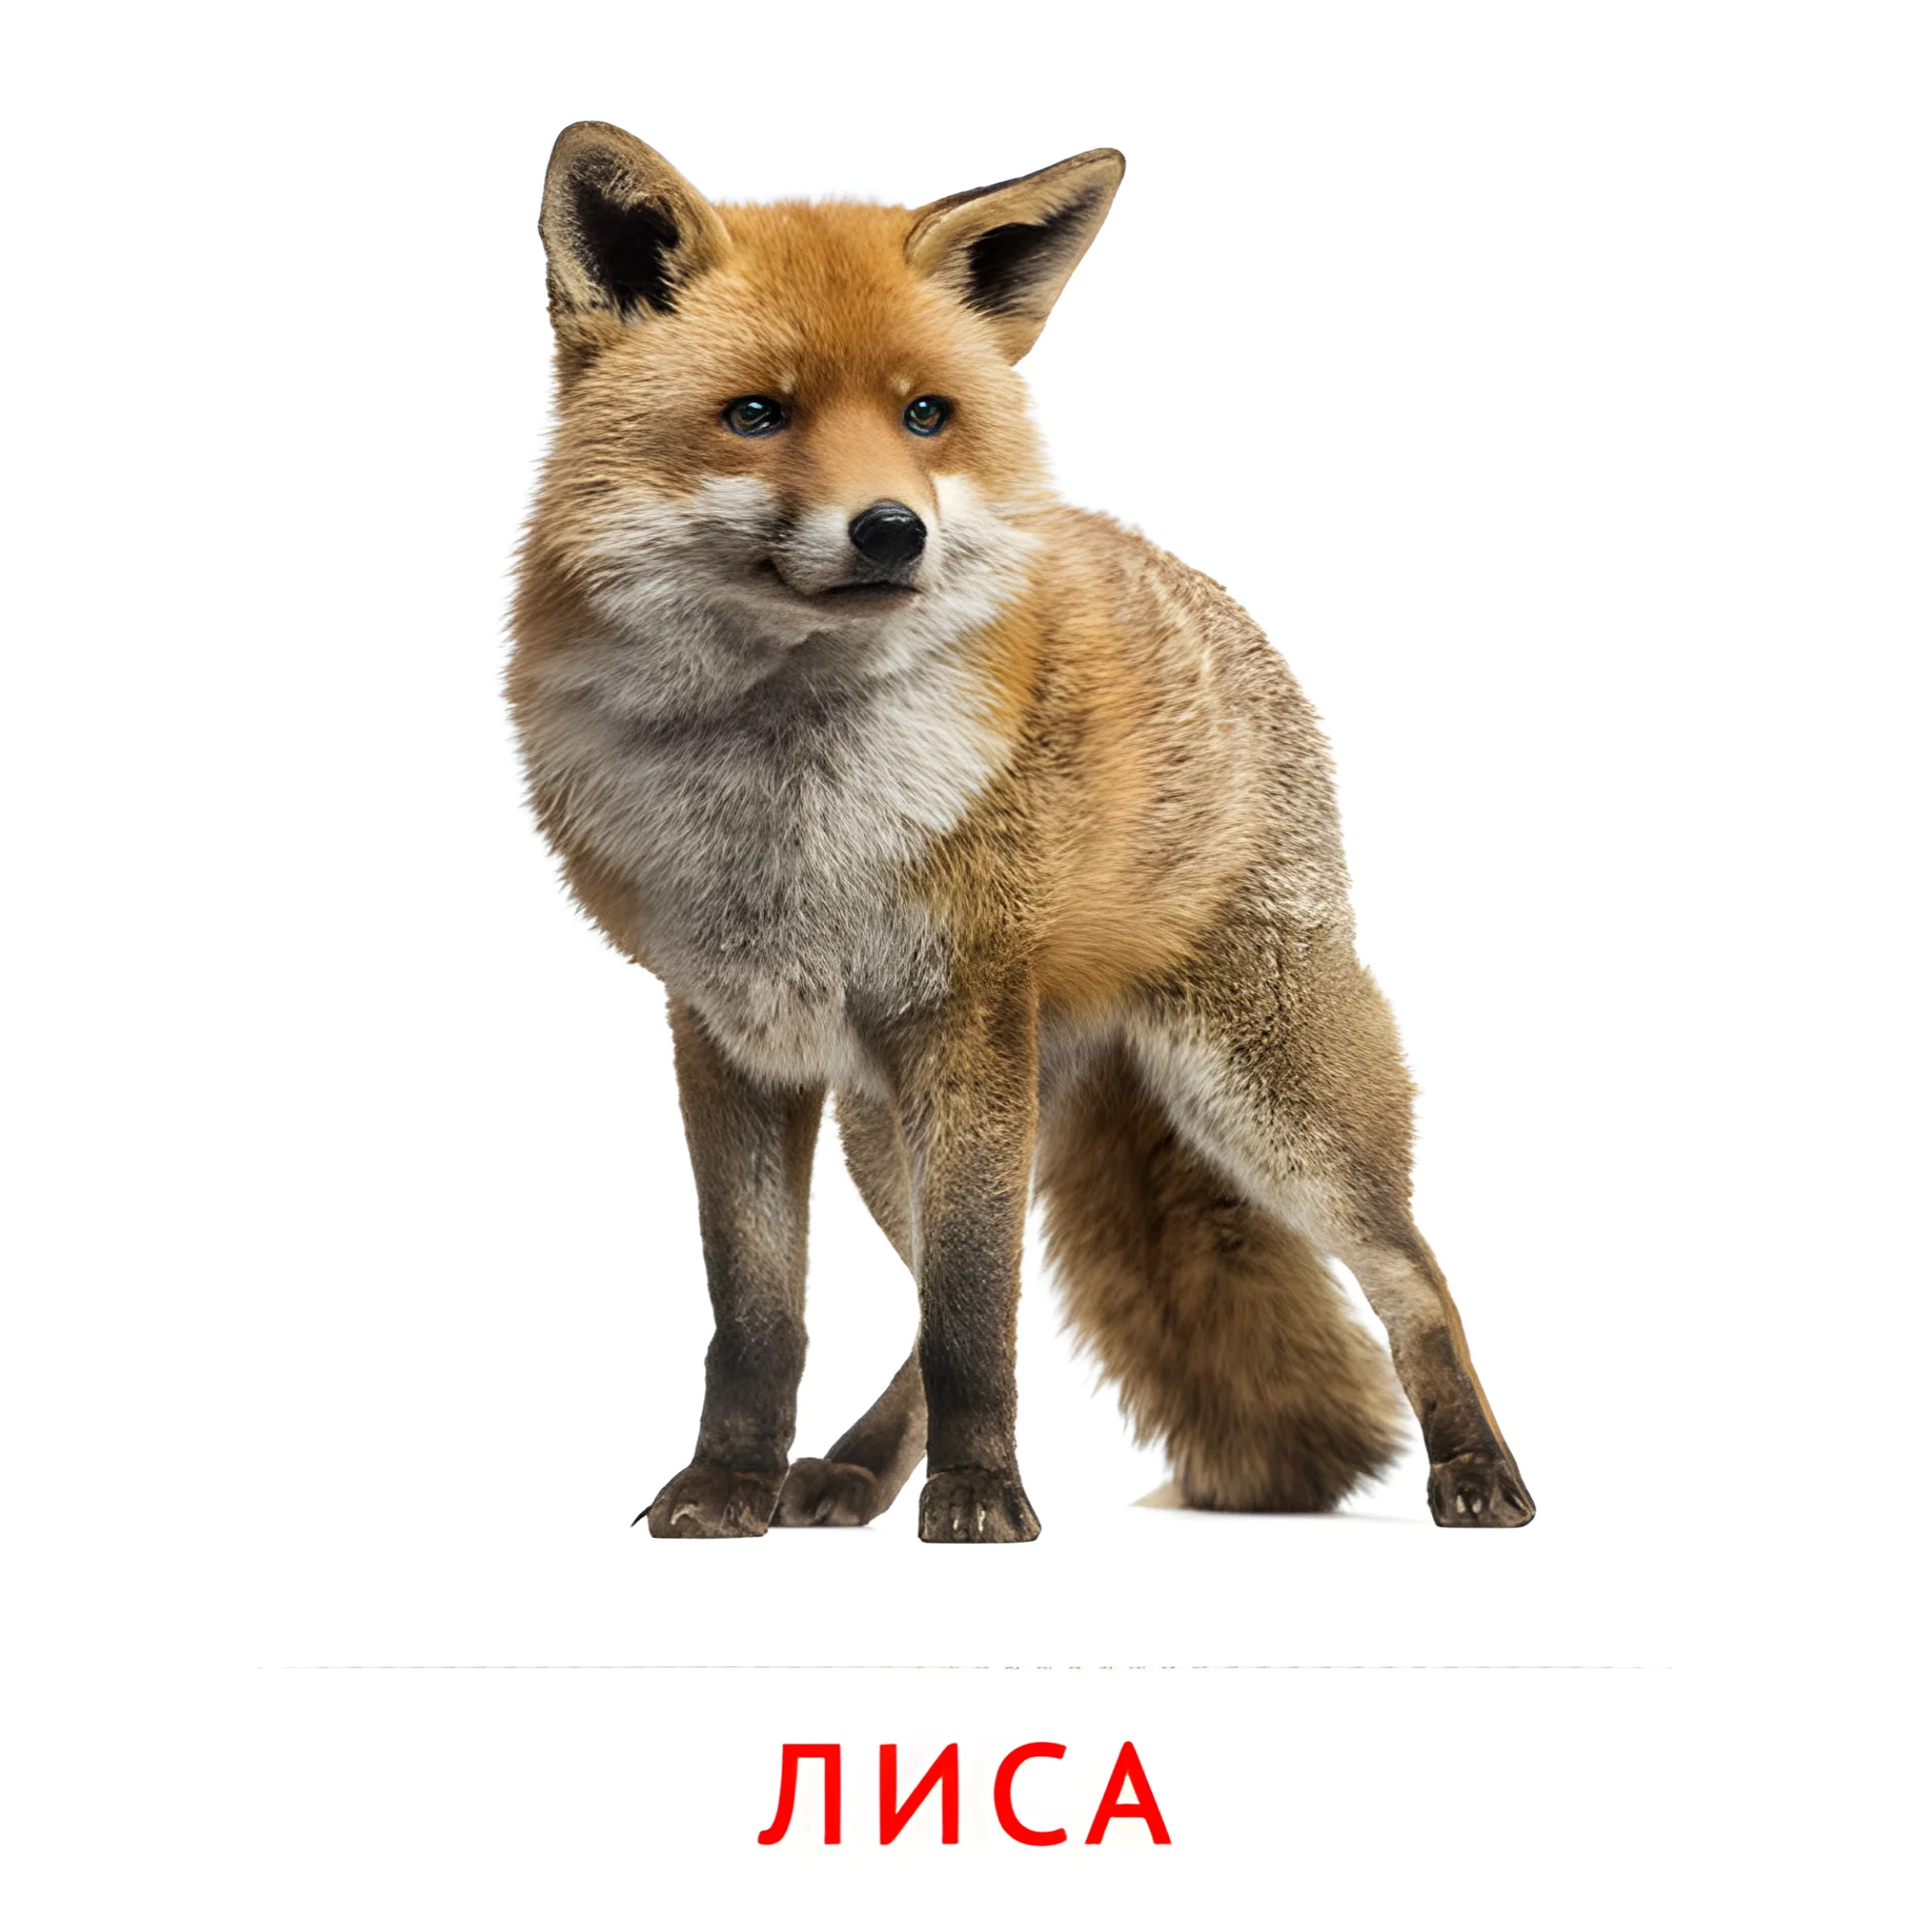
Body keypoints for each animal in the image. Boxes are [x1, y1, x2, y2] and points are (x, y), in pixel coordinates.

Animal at [508, 121, 1534, 1542]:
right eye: (757, 414)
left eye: (925, 415)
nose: (892, 530)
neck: (787, 807)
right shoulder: (728, 1034)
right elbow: (759, 1316)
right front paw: (726, 1485)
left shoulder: (966, 1016)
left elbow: (971, 1310)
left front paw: (983, 1496)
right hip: (899, 1129)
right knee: (937, 1304)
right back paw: (846, 1472)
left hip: (1261, 1103)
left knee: (1414, 1274)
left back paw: (1479, 1469)